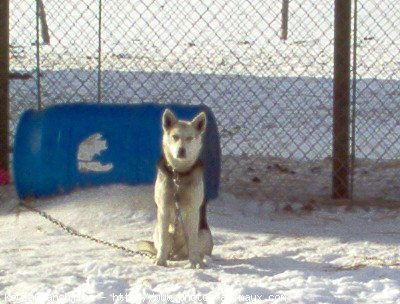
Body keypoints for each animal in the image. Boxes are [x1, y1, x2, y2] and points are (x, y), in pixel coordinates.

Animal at [137, 108, 212, 268]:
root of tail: (177, 252)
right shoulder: (164, 209)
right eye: (175, 137)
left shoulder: (192, 211)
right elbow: (164, 242)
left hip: (204, 234)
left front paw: (196, 263)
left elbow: (192, 241)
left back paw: (198, 259)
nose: (181, 151)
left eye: (190, 138)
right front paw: (160, 261)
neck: (179, 173)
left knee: (195, 249)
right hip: (158, 228)